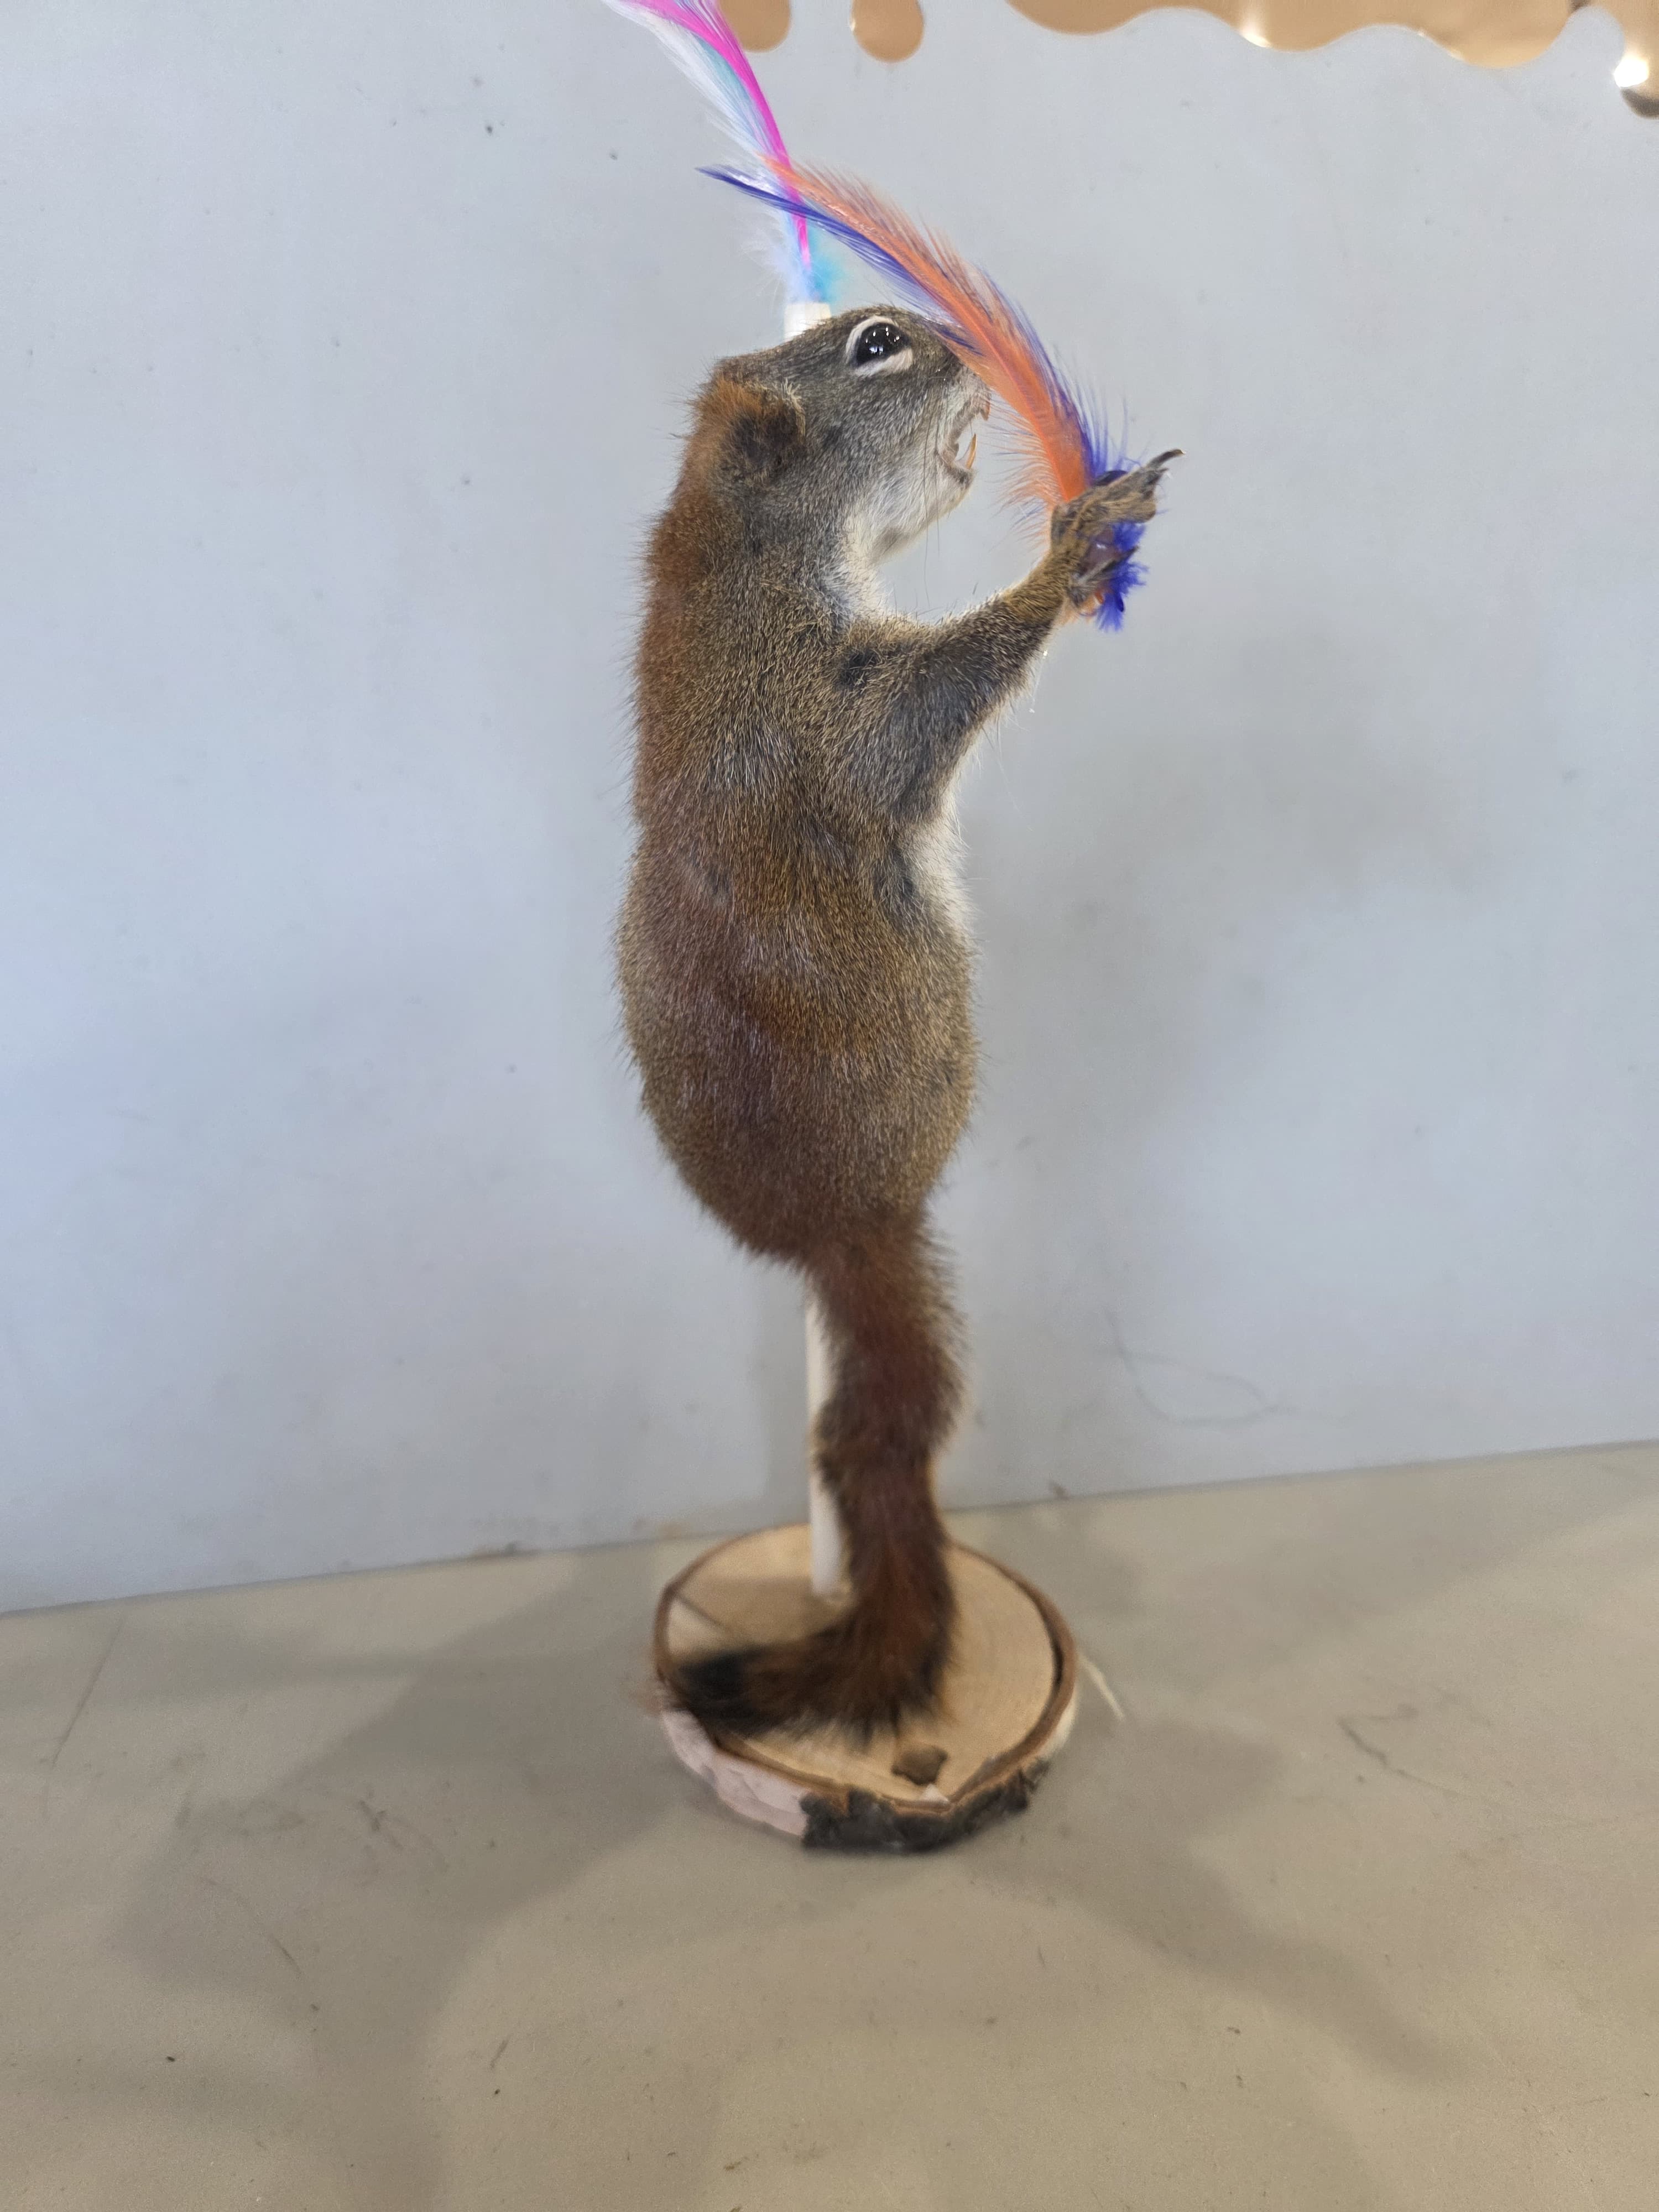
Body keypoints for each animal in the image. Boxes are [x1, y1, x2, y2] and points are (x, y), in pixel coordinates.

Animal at [619, 304, 1174, 1737]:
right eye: (876, 346)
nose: (970, 346)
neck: (736, 546)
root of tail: (844, 1231)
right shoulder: (835, 710)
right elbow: (947, 687)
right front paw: (1079, 540)